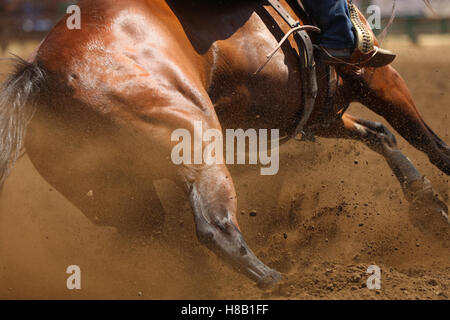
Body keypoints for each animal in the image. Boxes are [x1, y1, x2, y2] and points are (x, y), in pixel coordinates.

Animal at [0, 0, 448, 288]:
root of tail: (41, 74)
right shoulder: (374, 76)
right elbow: (427, 138)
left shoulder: (318, 110)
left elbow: (380, 134)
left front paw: (428, 206)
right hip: (196, 142)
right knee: (214, 226)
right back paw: (278, 281)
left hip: (112, 193)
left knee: (149, 236)